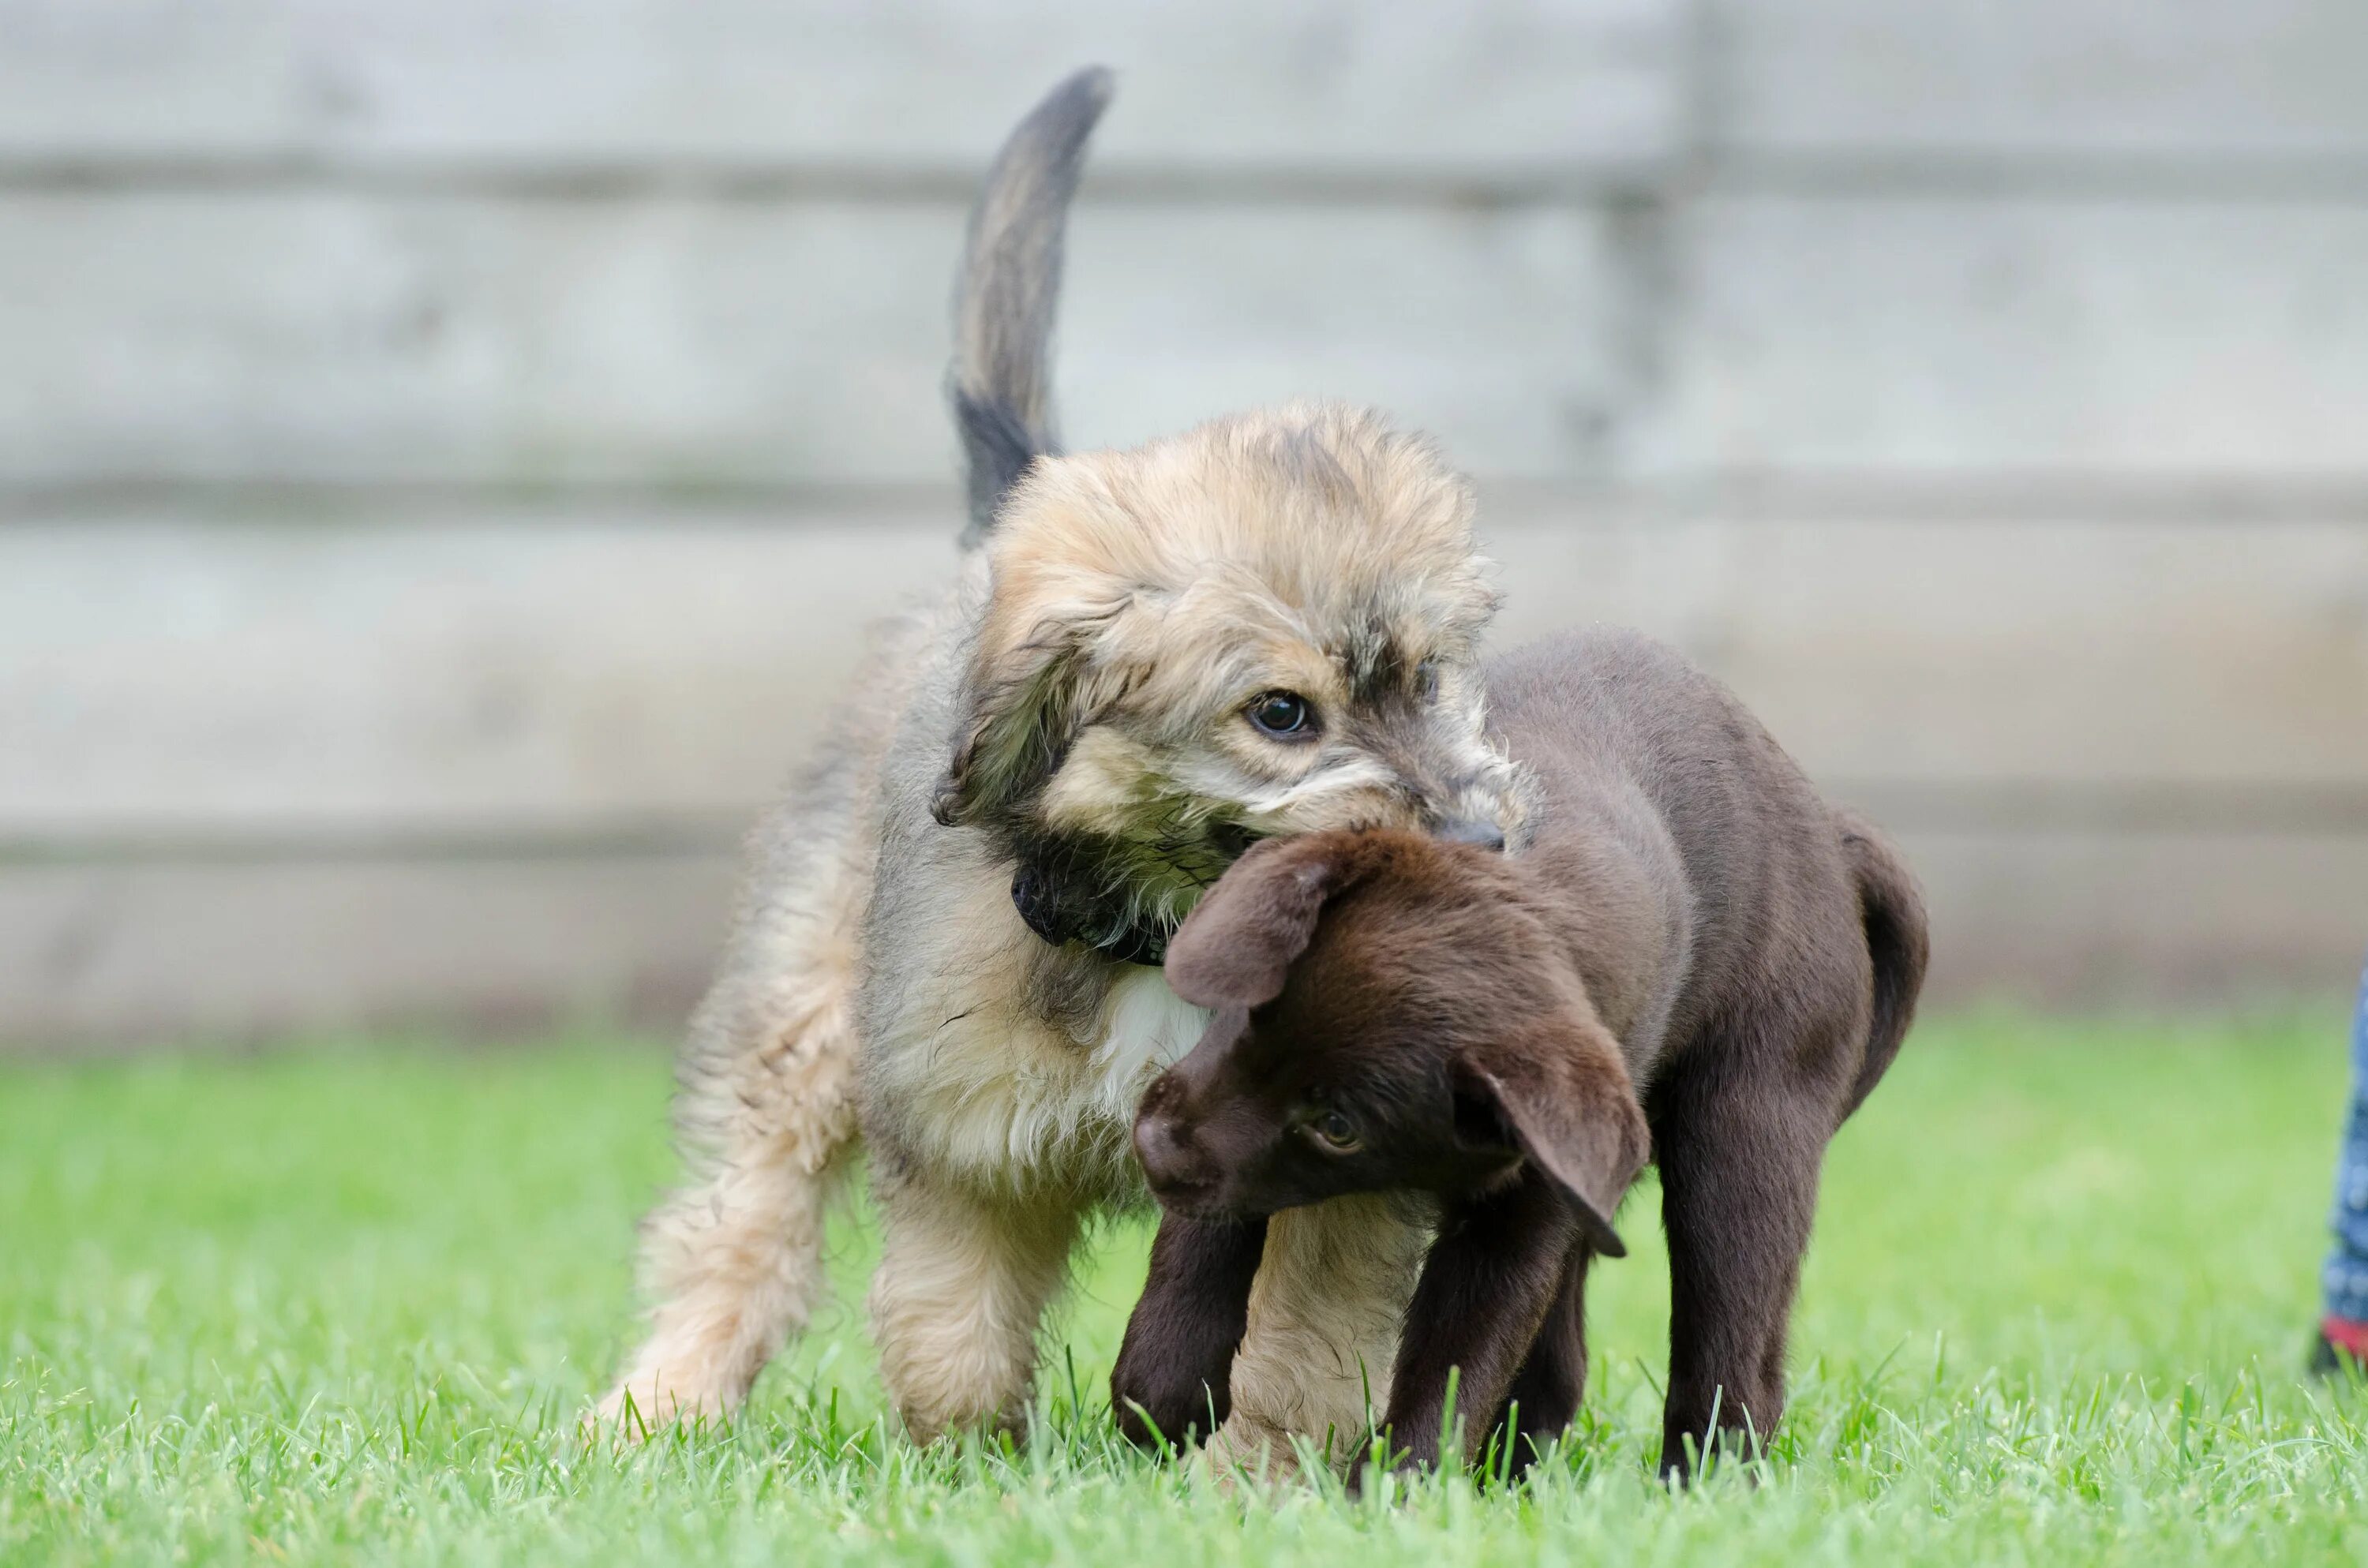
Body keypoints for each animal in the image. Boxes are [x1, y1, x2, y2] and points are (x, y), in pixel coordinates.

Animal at [597, 64, 1516, 1458]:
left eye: (1425, 676)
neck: (1171, 930)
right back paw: (660, 1403)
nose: (1478, 845)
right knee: (737, 1225)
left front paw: (1256, 1476)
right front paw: (975, 1466)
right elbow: (950, 1327)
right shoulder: (965, 1140)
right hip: (804, 1014)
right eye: (1280, 713)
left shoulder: (1340, 1167)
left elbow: (1302, 1349)